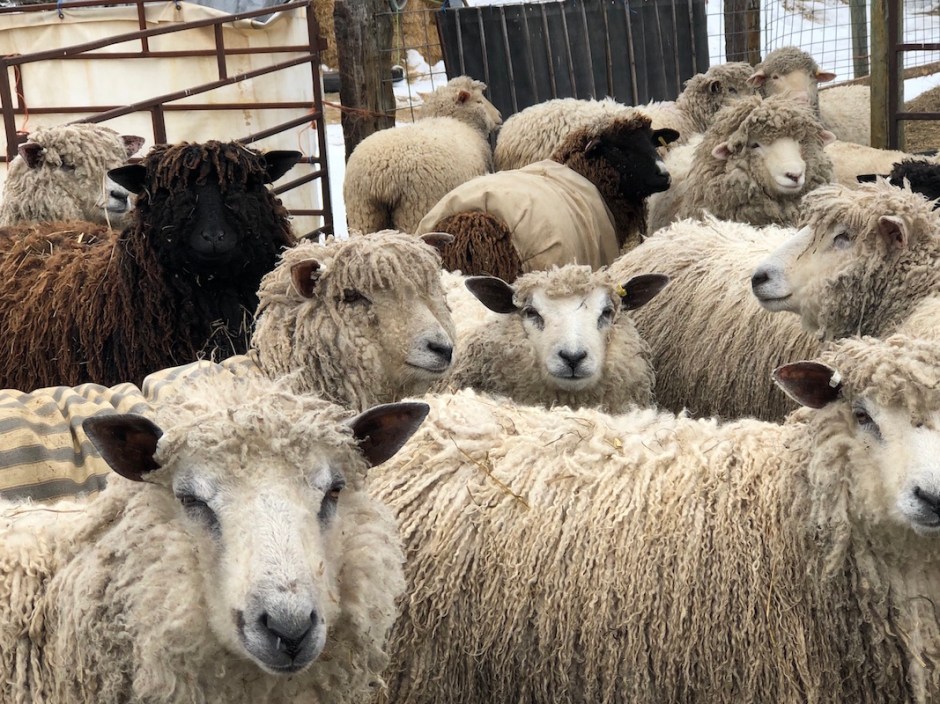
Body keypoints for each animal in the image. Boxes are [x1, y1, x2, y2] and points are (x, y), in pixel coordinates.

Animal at [342, 76, 502, 235]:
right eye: (479, 101)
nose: (499, 116)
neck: (460, 121)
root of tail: (381, 177)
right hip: (416, 209)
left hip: (362, 212)